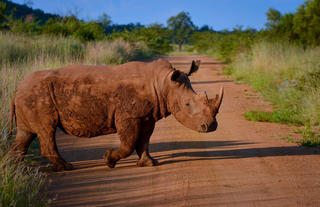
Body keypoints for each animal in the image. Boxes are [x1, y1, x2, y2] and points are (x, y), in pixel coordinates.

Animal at [10, 58, 224, 171]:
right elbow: (128, 144)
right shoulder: (128, 116)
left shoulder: (147, 117)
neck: (162, 83)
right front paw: (108, 160)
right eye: (187, 104)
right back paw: (66, 167)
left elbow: (144, 141)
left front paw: (149, 163)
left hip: (30, 94)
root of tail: (17, 88)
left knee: (25, 133)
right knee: (46, 129)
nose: (211, 126)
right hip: (38, 94)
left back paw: (15, 169)